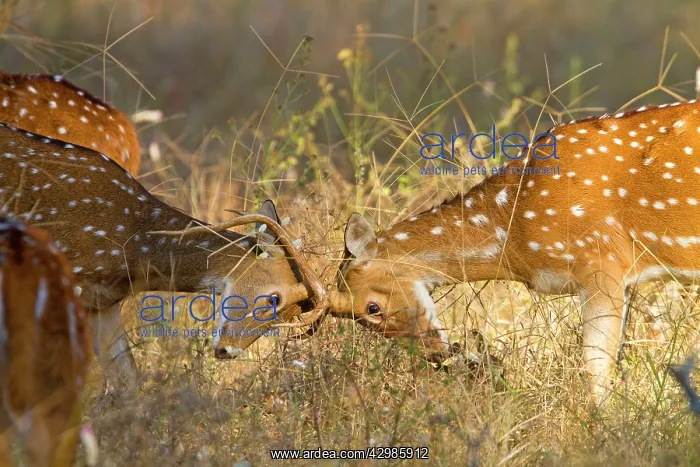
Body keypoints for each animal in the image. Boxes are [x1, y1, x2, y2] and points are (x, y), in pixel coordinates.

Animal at [0, 121, 326, 397]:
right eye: (274, 297)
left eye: (292, 315)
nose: (227, 351)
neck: (132, 244)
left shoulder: (101, 304)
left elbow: (129, 383)